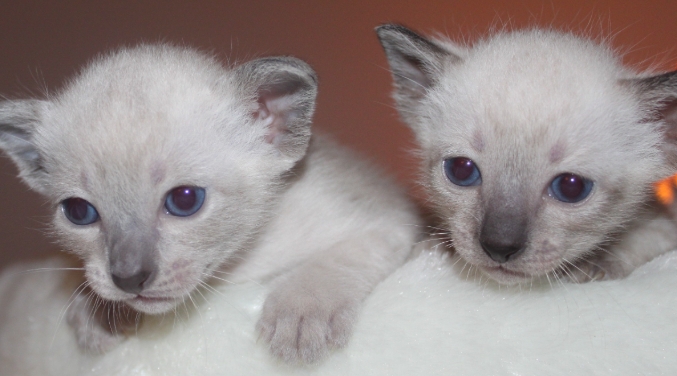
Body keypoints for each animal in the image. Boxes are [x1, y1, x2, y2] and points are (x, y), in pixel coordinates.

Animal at [0, 45, 420, 362]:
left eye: (185, 200)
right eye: (79, 212)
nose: (129, 278)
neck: (237, 269)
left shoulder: (392, 223)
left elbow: (334, 260)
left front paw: (301, 315)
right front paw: (97, 313)